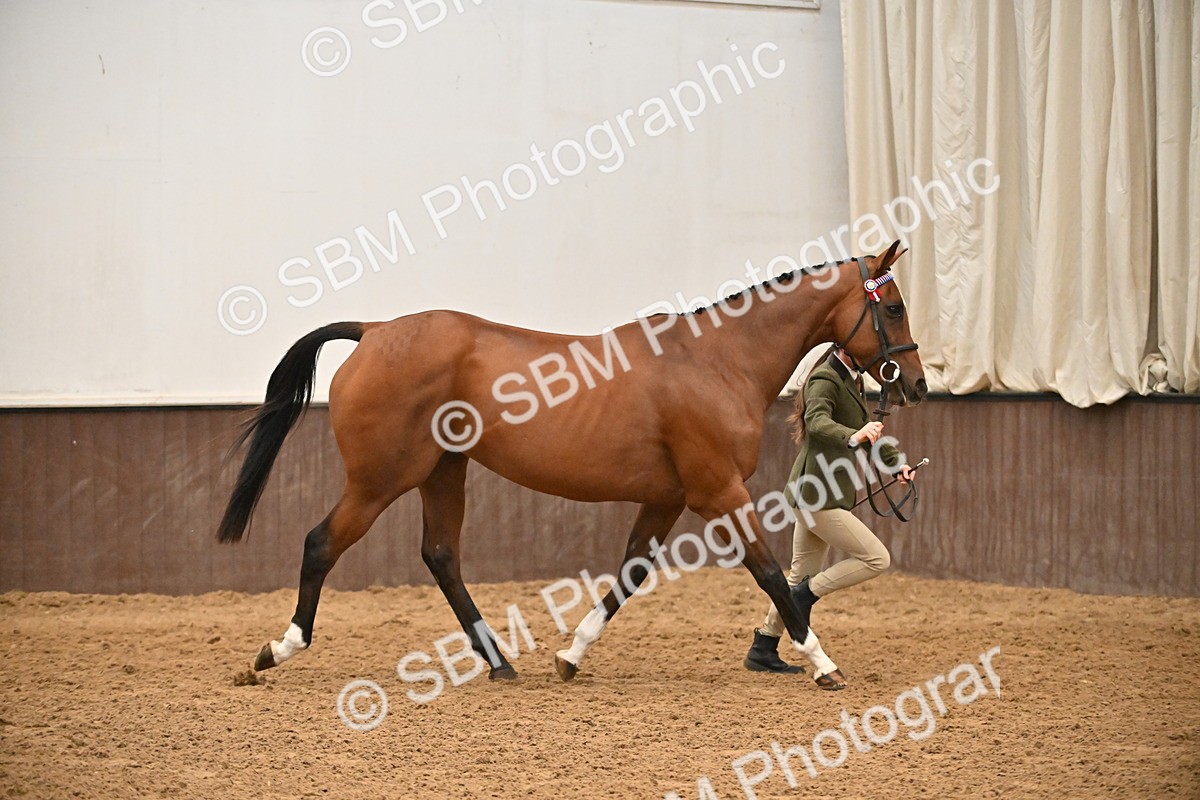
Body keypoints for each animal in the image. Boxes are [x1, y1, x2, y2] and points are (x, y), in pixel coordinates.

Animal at [217, 240, 926, 683]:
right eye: (892, 307)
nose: (916, 384)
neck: (719, 360)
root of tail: (377, 330)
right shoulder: (719, 493)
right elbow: (773, 576)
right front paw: (824, 664)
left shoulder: (668, 497)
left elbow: (630, 573)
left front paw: (572, 655)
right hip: (381, 479)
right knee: (320, 543)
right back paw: (279, 648)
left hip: (444, 472)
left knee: (440, 555)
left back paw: (500, 663)